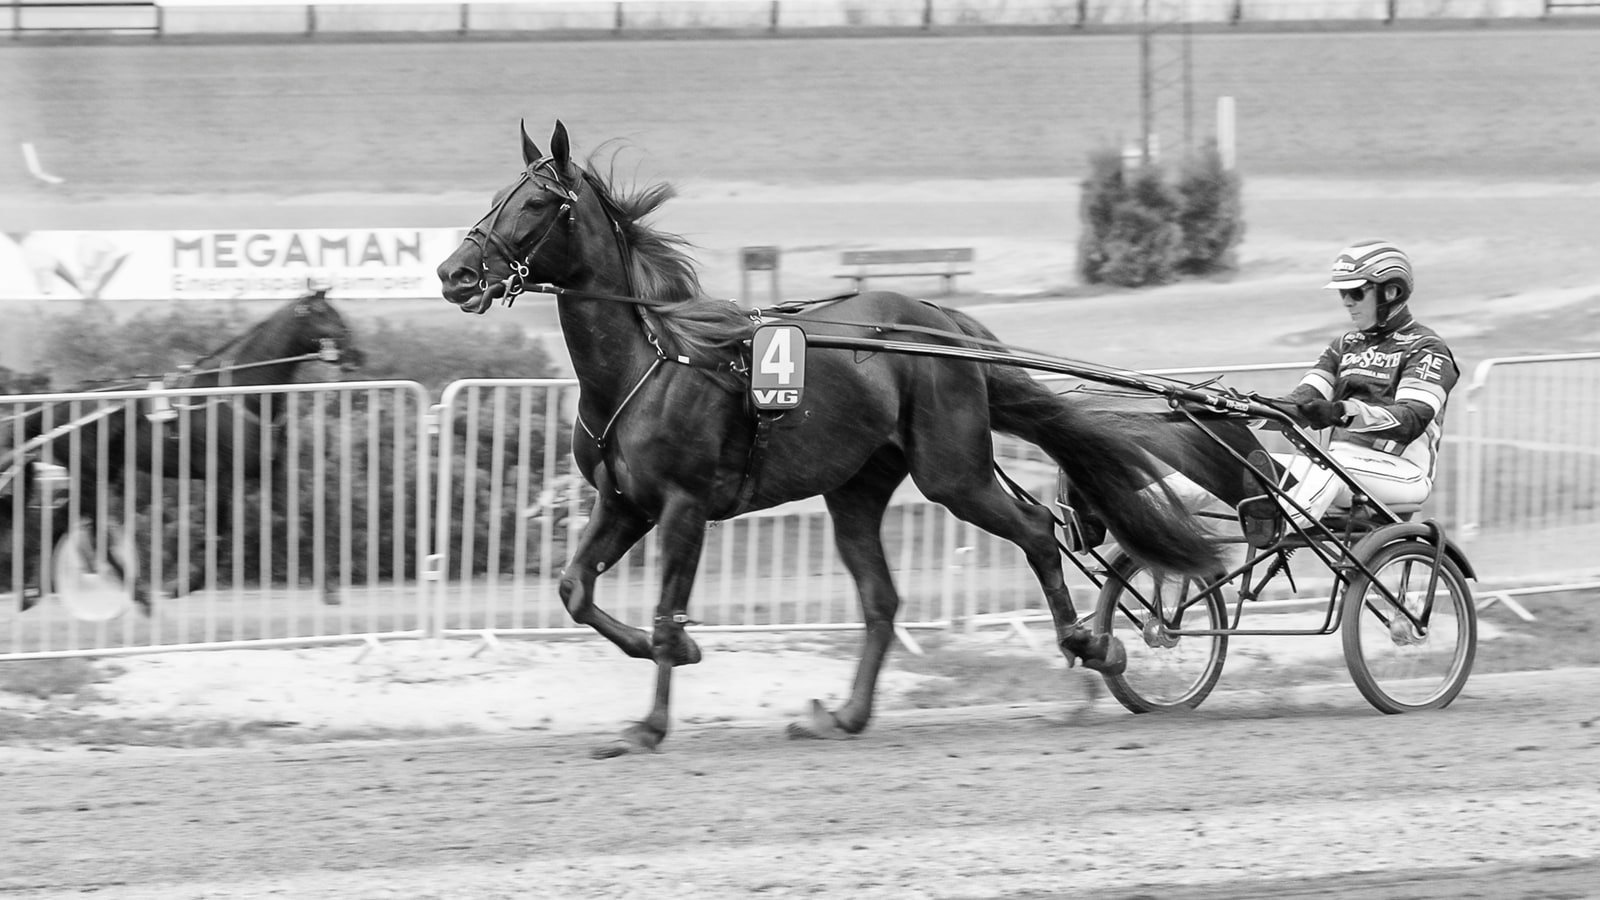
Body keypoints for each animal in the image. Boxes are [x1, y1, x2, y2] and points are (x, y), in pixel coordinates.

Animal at [1, 292, 363, 611]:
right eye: (324, 313)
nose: (356, 354)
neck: (242, 392)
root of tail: (57, 405)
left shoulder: (271, 470)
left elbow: (301, 522)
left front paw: (331, 590)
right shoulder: (223, 476)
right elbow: (220, 533)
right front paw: (184, 584)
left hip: (99, 471)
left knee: (62, 519)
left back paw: (32, 593)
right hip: (93, 472)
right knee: (92, 529)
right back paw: (139, 595)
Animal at [436, 121, 1222, 756]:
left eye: (536, 204)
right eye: (498, 195)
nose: (454, 272)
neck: (649, 361)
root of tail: (944, 322)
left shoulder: (683, 507)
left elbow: (662, 613)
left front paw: (650, 723)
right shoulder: (624, 503)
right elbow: (575, 590)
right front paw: (681, 652)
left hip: (952, 470)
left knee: (1033, 530)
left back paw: (1092, 646)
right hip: (857, 487)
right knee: (881, 599)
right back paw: (844, 715)